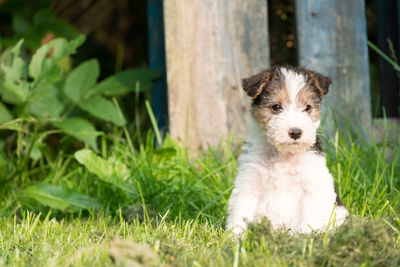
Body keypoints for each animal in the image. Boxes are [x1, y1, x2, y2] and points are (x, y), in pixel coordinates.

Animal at [227, 66, 348, 236]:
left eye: (307, 107)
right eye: (276, 107)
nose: (296, 132)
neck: (283, 154)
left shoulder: (313, 187)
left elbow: (308, 221)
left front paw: (305, 238)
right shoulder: (249, 184)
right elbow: (239, 215)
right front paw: (234, 238)